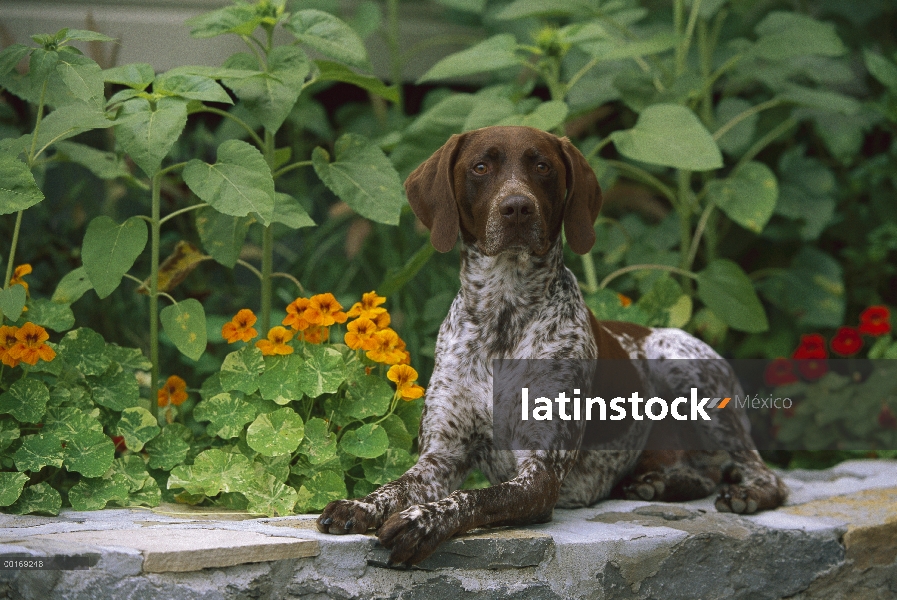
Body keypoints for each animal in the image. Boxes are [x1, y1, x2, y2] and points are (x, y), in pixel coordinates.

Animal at [316, 124, 784, 564]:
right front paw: (360, 504)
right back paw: (654, 482)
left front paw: (420, 521)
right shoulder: (440, 459)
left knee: (767, 477)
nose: (517, 207)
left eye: (542, 166)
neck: (502, 318)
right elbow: (394, 487)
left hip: (685, 371)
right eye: (480, 167)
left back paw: (745, 494)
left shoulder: (539, 475)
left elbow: (471, 498)